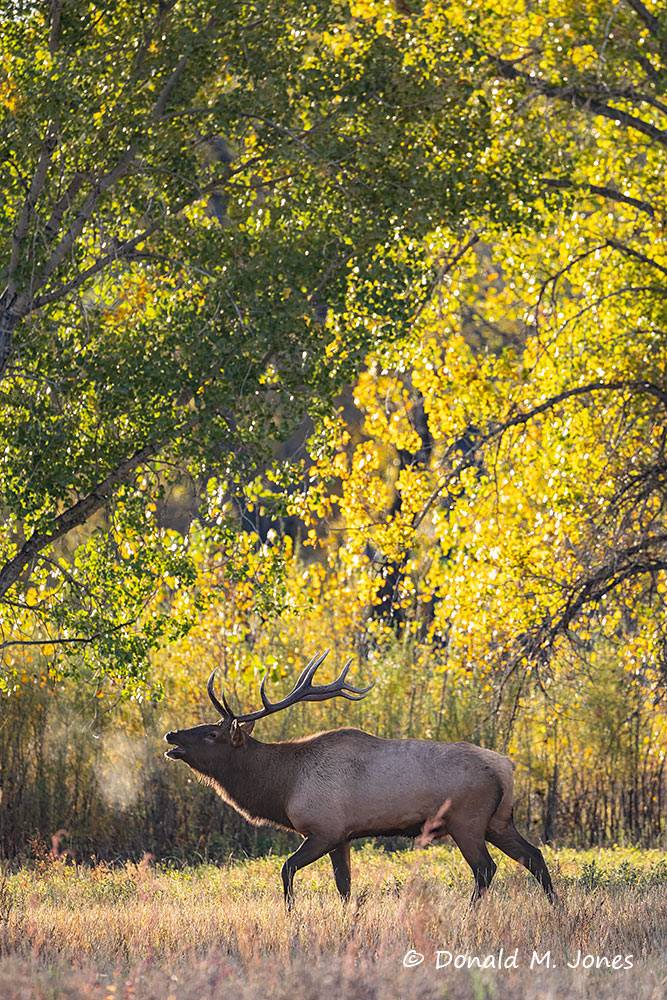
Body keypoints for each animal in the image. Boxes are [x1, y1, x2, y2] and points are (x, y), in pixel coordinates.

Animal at [164, 650, 555, 907]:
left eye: (212, 734)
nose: (171, 735)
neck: (283, 787)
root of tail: (506, 767)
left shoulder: (324, 829)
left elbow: (287, 869)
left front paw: (291, 913)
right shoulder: (342, 837)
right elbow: (344, 886)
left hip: (467, 821)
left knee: (486, 869)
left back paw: (471, 913)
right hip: (499, 821)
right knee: (534, 856)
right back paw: (555, 908)